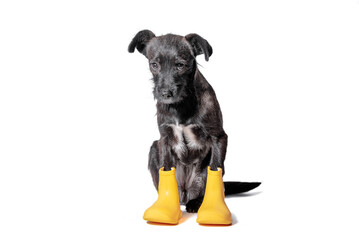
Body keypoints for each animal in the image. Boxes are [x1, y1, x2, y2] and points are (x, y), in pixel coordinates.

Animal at [128, 30, 260, 212]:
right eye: (154, 65)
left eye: (180, 65)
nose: (165, 93)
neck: (180, 105)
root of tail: (185, 195)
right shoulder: (164, 138)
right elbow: (166, 167)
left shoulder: (218, 137)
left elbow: (215, 168)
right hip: (154, 147)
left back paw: (197, 203)